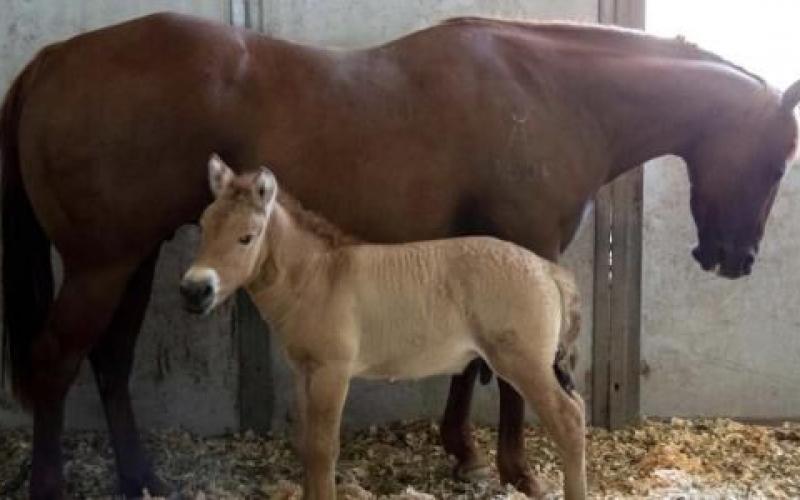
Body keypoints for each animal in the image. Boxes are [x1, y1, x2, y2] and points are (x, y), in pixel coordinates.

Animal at [178, 154, 584, 498]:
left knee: (569, 420)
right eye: (204, 227)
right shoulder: (303, 372)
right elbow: (306, 444)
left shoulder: (332, 372)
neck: (318, 277)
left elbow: (324, 450)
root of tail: (548, 270)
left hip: (524, 364)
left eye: (246, 237)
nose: (195, 290)